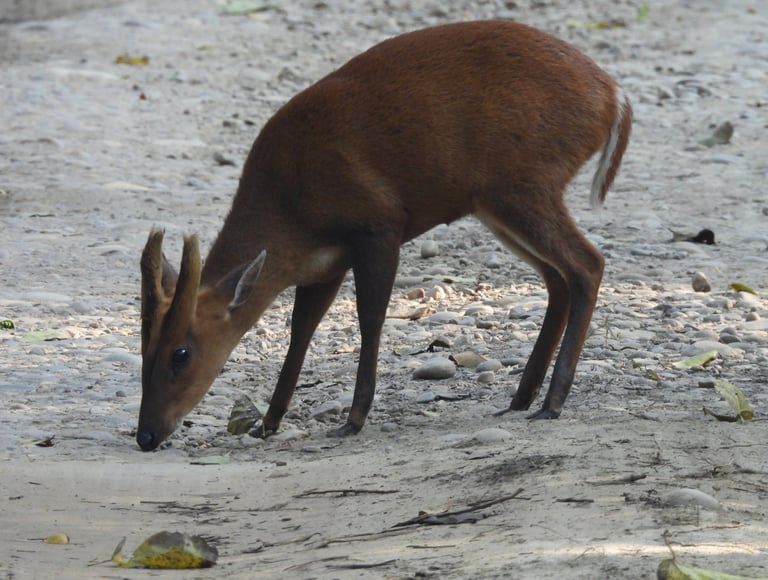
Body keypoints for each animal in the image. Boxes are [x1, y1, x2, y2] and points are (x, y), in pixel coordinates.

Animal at [137, 20, 632, 451]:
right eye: (144, 348)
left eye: (180, 353)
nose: (146, 435)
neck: (289, 211)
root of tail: (614, 96)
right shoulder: (323, 264)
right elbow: (302, 329)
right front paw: (269, 422)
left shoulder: (379, 225)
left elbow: (369, 317)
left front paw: (352, 420)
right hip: (498, 203)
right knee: (557, 279)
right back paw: (520, 399)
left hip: (525, 183)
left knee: (587, 263)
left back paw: (552, 403)